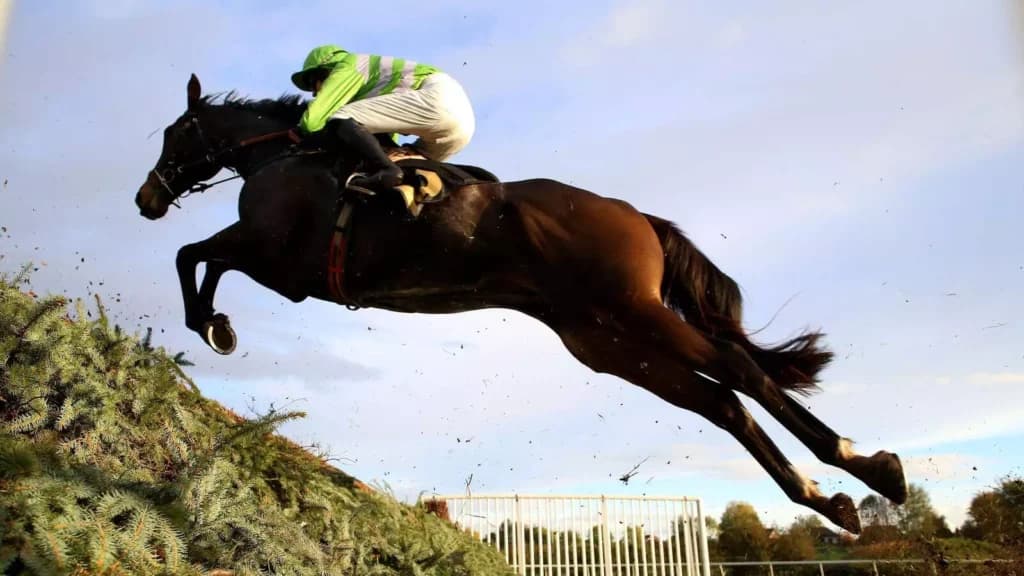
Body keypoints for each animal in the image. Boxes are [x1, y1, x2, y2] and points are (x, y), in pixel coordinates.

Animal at [133, 74, 908, 533]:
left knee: (739, 371)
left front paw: (212, 325)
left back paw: (866, 467)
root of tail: (636, 215)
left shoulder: (277, 260)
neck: (282, 158)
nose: (146, 198)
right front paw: (214, 324)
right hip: (604, 343)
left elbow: (193, 255)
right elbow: (198, 256)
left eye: (173, 134)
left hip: (633, 313)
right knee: (721, 402)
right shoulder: (272, 260)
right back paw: (828, 499)